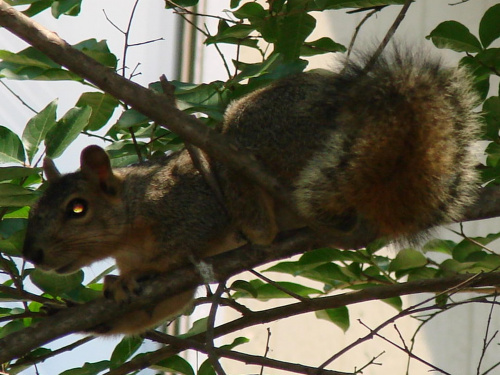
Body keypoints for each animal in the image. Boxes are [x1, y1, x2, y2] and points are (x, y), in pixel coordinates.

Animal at [20, 50, 480, 334]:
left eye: (77, 209)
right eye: (34, 210)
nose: (33, 255)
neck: (132, 215)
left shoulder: (190, 206)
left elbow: (183, 243)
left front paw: (135, 275)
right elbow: (162, 306)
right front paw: (79, 308)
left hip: (263, 133)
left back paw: (257, 227)